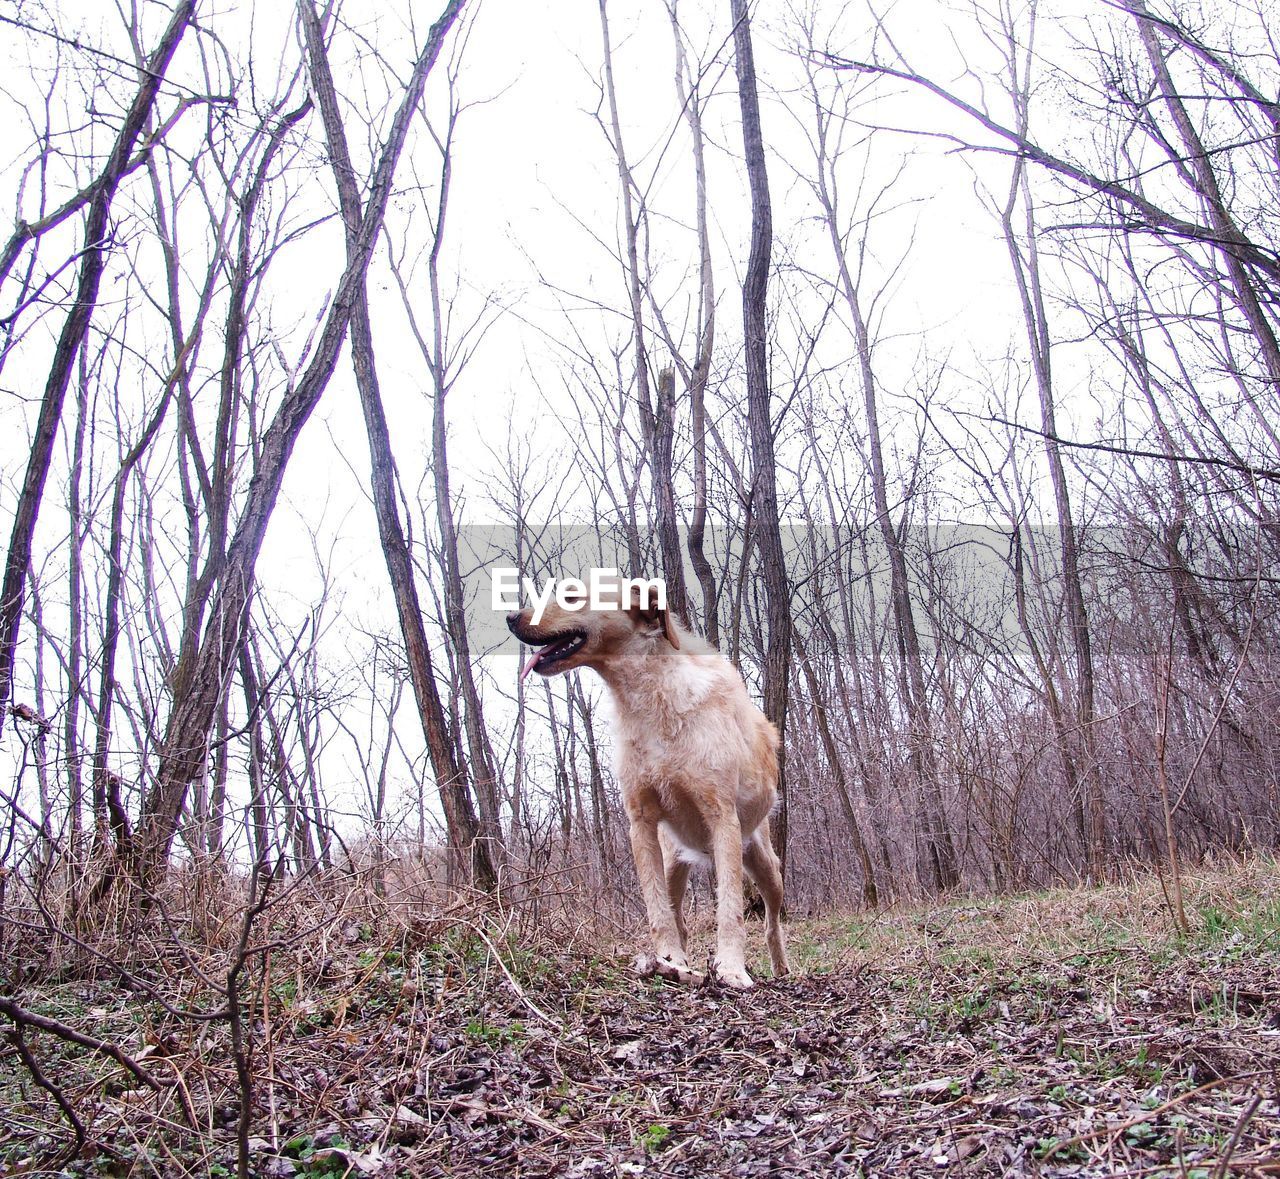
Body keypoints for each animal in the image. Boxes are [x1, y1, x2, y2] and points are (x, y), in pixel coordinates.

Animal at [504, 578, 783, 983]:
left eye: (571, 596)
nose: (511, 616)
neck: (651, 699)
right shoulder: (641, 823)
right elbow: (657, 911)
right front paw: (669, 959)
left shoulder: (722, 818)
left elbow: (730, 909)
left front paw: (731, 968)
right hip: (672, 864)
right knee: (678, 916)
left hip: (766, 867)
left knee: (772, 922)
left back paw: (781, 967)